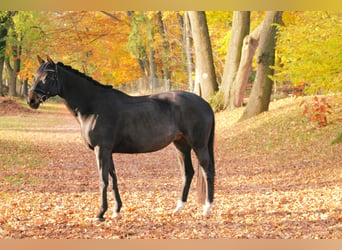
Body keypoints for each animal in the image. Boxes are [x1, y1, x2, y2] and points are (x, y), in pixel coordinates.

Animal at [27, 56, 214, 221]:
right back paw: (178, 208)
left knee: (208, 171)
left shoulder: (101, 150)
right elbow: (113, 179)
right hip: (181, 145)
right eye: (35, 76)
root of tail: (205, 103)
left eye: (48, 76)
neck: (93, 106)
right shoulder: (108, 151)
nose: (31, 100)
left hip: (199, 145)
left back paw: (207, 209)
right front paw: (116, 211)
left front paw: (100, 214)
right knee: (188, 173)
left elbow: (103, 180)